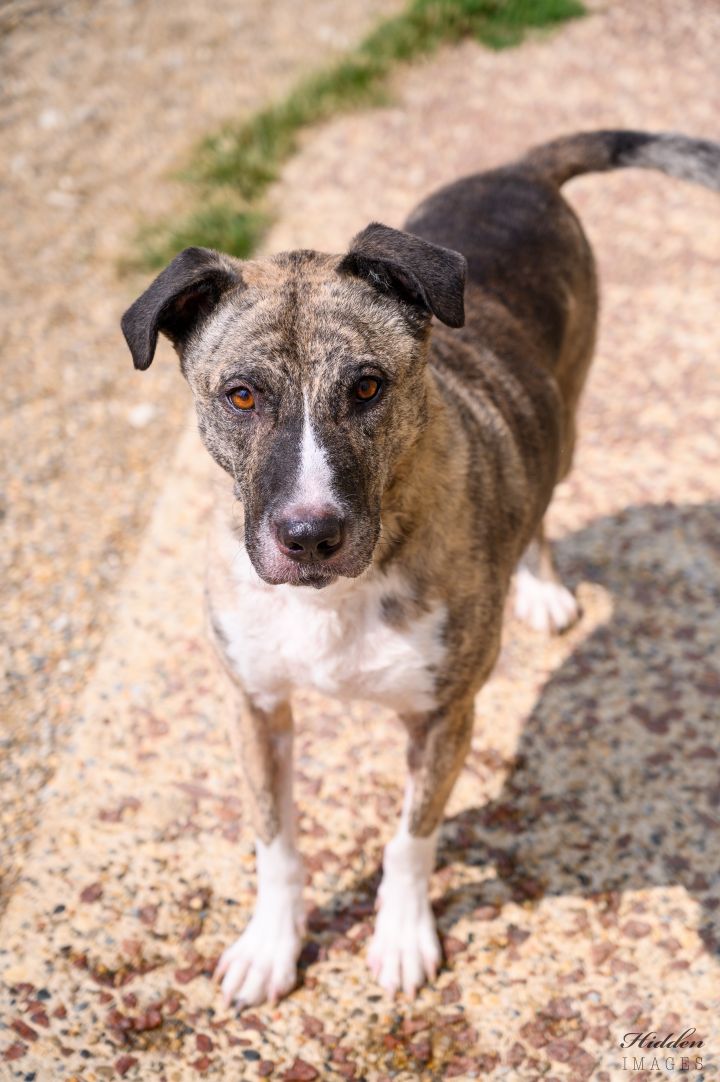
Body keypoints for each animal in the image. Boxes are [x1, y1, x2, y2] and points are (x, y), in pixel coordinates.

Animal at [120, 130, 714, 1008]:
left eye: (368, 387)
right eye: (241, 396)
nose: (309, 535)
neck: (341, 592)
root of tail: (519, 170)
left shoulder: (444, 718)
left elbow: (409, 840)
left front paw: (401, 937)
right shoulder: (253, 706)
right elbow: (275, 841)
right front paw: (271, 945)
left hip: (568, 419)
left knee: (543, 495)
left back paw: (540, 585)